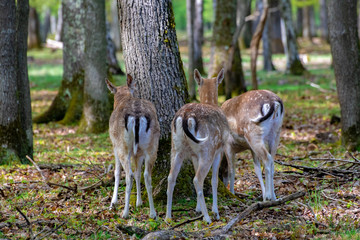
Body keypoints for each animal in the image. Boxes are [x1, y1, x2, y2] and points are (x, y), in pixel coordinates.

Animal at [105, 75, 160, 219]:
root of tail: (137, 116)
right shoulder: (138, 153)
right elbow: (138, 173)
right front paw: (139, 202)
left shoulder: (114, 146)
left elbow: (117, 172)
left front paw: (113, 202)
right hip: (152, 146)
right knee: (147, 175)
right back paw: (153, 213)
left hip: (123, 147)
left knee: (128, 175)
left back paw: (125, 213)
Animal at [166, 68, 233, 224]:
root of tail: (185, 117)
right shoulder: (219, 149)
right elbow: (214, 180)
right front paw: (215, 210)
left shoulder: (194, 155)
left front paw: (197, 208)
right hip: (207, 148)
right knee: (198, 179)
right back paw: (208, 218)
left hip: (176, 148)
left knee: (171, 177)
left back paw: (168, 217)